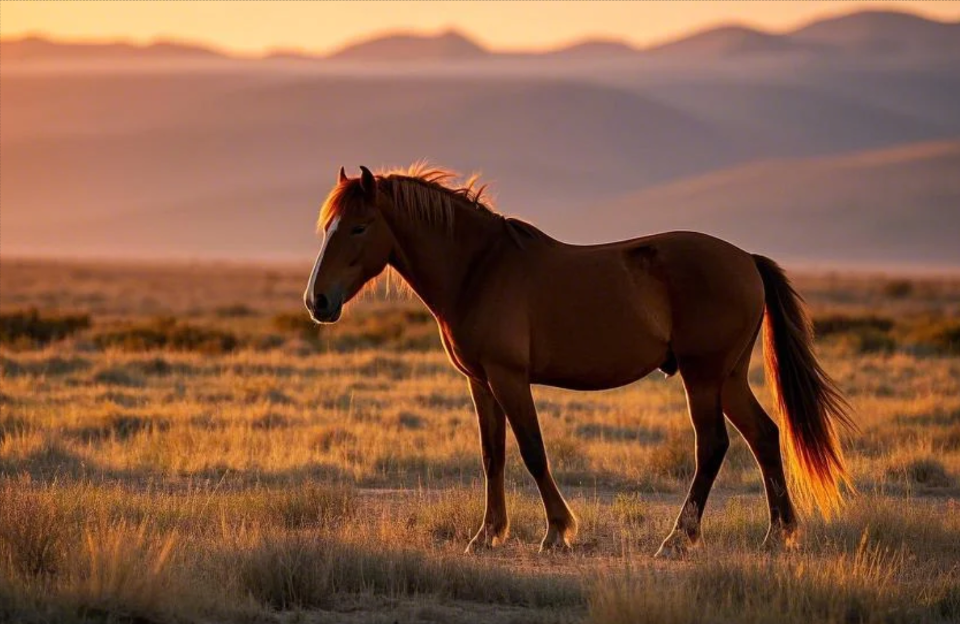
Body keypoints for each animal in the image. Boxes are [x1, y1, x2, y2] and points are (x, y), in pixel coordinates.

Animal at [304, 162, 852, 556]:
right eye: (328, 226)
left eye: (359, 227)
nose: (318, 301)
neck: (478, 269)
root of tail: (746, 261)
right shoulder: (480, 382)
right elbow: (492, 454)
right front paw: (488, 533)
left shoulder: (509, 378)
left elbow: (532, 451)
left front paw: (556, 530)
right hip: (728, 377)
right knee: (764, 435)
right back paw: (777, 534)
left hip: (702, 377)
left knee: (713, 445)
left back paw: (678, 538)